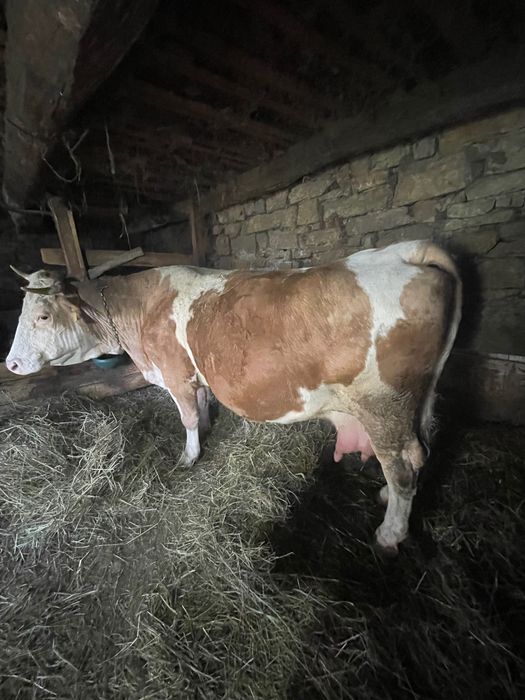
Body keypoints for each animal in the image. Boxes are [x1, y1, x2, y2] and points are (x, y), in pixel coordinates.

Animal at [6, 240, 461, 553]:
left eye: (42, 316)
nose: (10, 364)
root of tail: (404, 250)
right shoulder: (196, 376)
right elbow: (202, 406)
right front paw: (206, 430)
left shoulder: (175, 373)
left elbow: (187, 416)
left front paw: (189, 456)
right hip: (419, 399)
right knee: (419, 452)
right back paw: (387, 498)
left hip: (383, 404)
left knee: (401, 466)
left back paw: (389, 532)